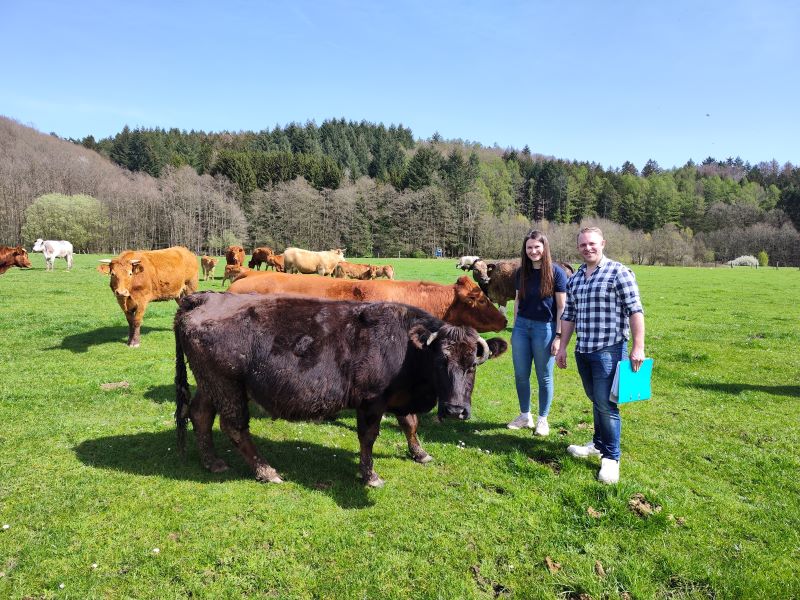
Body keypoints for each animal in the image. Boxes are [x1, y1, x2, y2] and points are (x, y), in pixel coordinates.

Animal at [175, 292, 506, 486]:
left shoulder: (399, 398)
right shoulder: (372, 401)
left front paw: (419, 453)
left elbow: (410, 423)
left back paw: (212, 462)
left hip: (211, 384)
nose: (455, 410)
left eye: (473, 364)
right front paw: (369, 474)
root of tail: (204, 298)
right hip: (227, 385)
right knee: (234, 426)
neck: (406, 346)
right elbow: (369, 437)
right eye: (440, 361)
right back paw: (266, 471)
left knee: (200, 414)